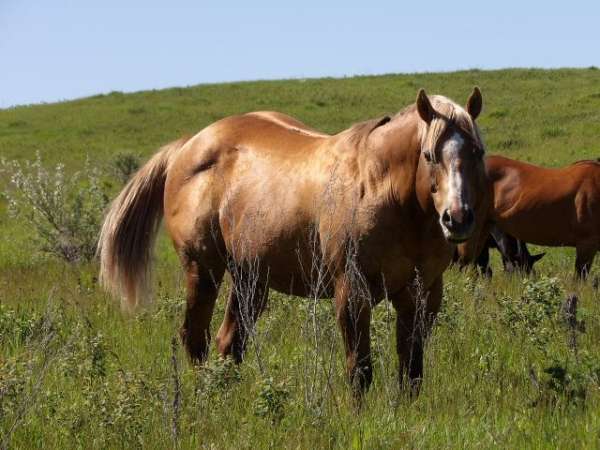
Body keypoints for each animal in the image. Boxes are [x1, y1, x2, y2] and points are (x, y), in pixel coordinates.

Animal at [98, 89, 488, 398]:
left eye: (477, 152)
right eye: (429, 155)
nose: (457, 217)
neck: (384, 189)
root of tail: (188, 145)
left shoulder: (422, 295)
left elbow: (412, 372)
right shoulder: (351, 292)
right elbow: (359, 371)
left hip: (250, 279)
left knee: (229, 343)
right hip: (203, 270)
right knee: (195, 338)